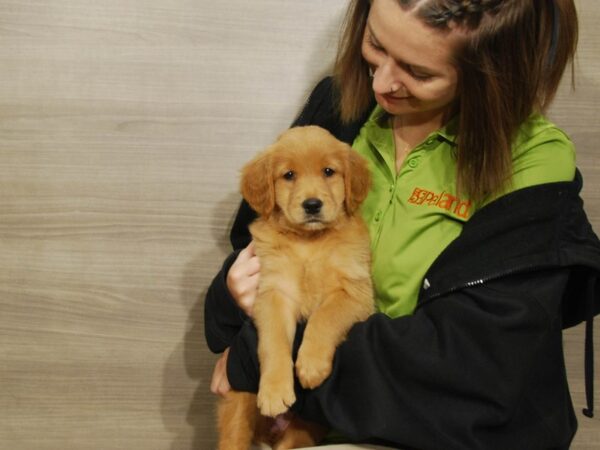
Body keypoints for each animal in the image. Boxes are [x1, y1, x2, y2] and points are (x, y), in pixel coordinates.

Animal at [216, 124, 376, 450]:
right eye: (288, 175)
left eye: (328, 171)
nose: (312, 205)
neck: (308, 243)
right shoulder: (274, 293)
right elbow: (273, 341)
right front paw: (274, 390)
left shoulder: (356, 292)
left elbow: (324, 317)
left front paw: (311, 365)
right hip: (237, 407)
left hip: (303, 430)